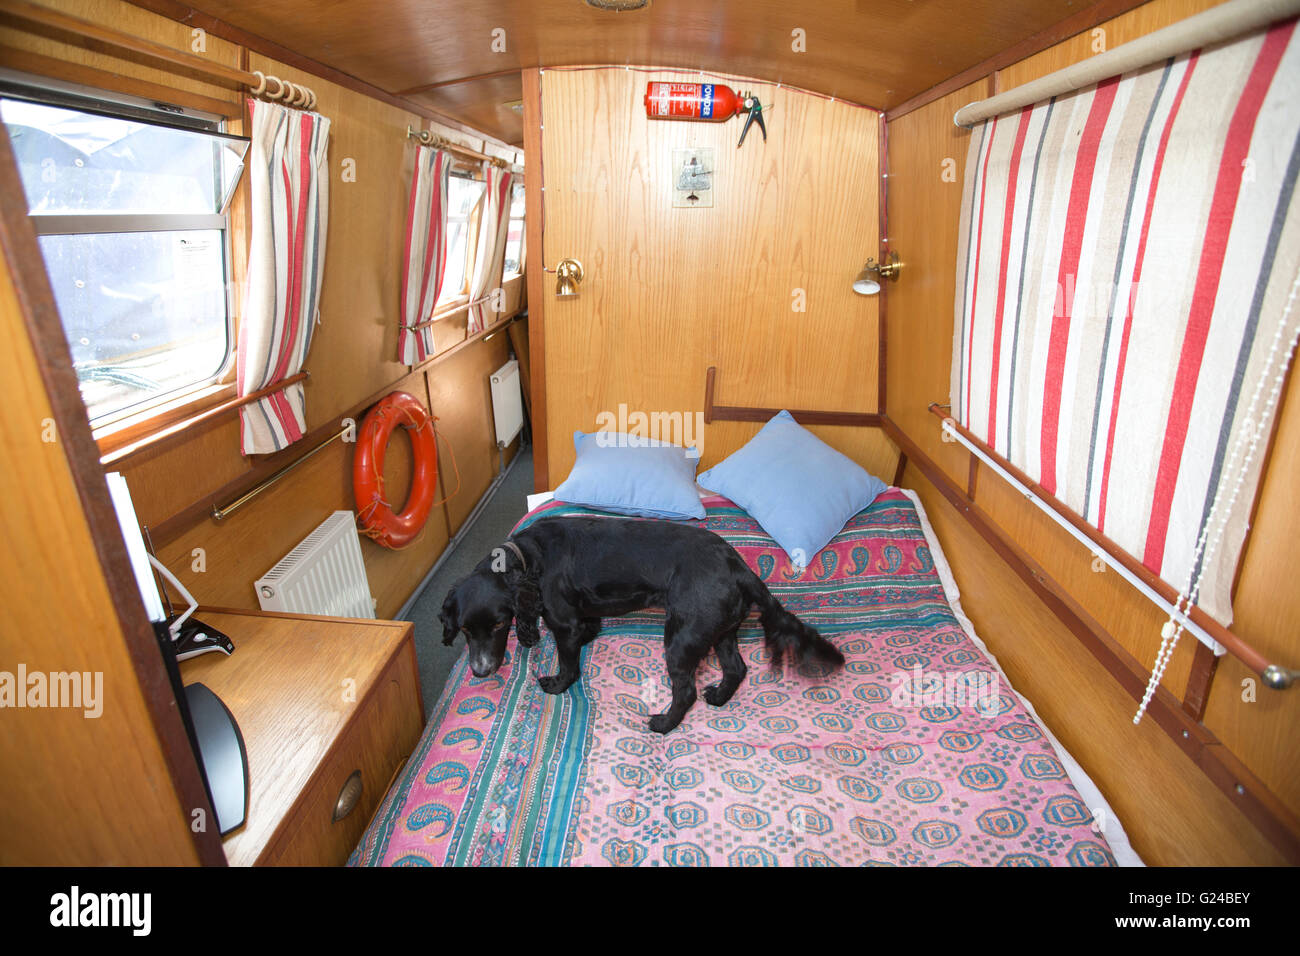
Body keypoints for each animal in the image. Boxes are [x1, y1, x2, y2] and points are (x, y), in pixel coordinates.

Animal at [436, 515, 842, 733]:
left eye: (499, 624)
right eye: (466, 630)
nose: (480, 671)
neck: (527, 556)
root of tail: (742, 568)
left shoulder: (563, 625)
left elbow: (569, 666)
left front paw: (557, 684)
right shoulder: (582, 615)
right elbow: (588, 628)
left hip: (682, 636)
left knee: (686, 691)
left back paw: (663, 724)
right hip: (721, 629)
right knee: (737, 669)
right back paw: (719, 697)